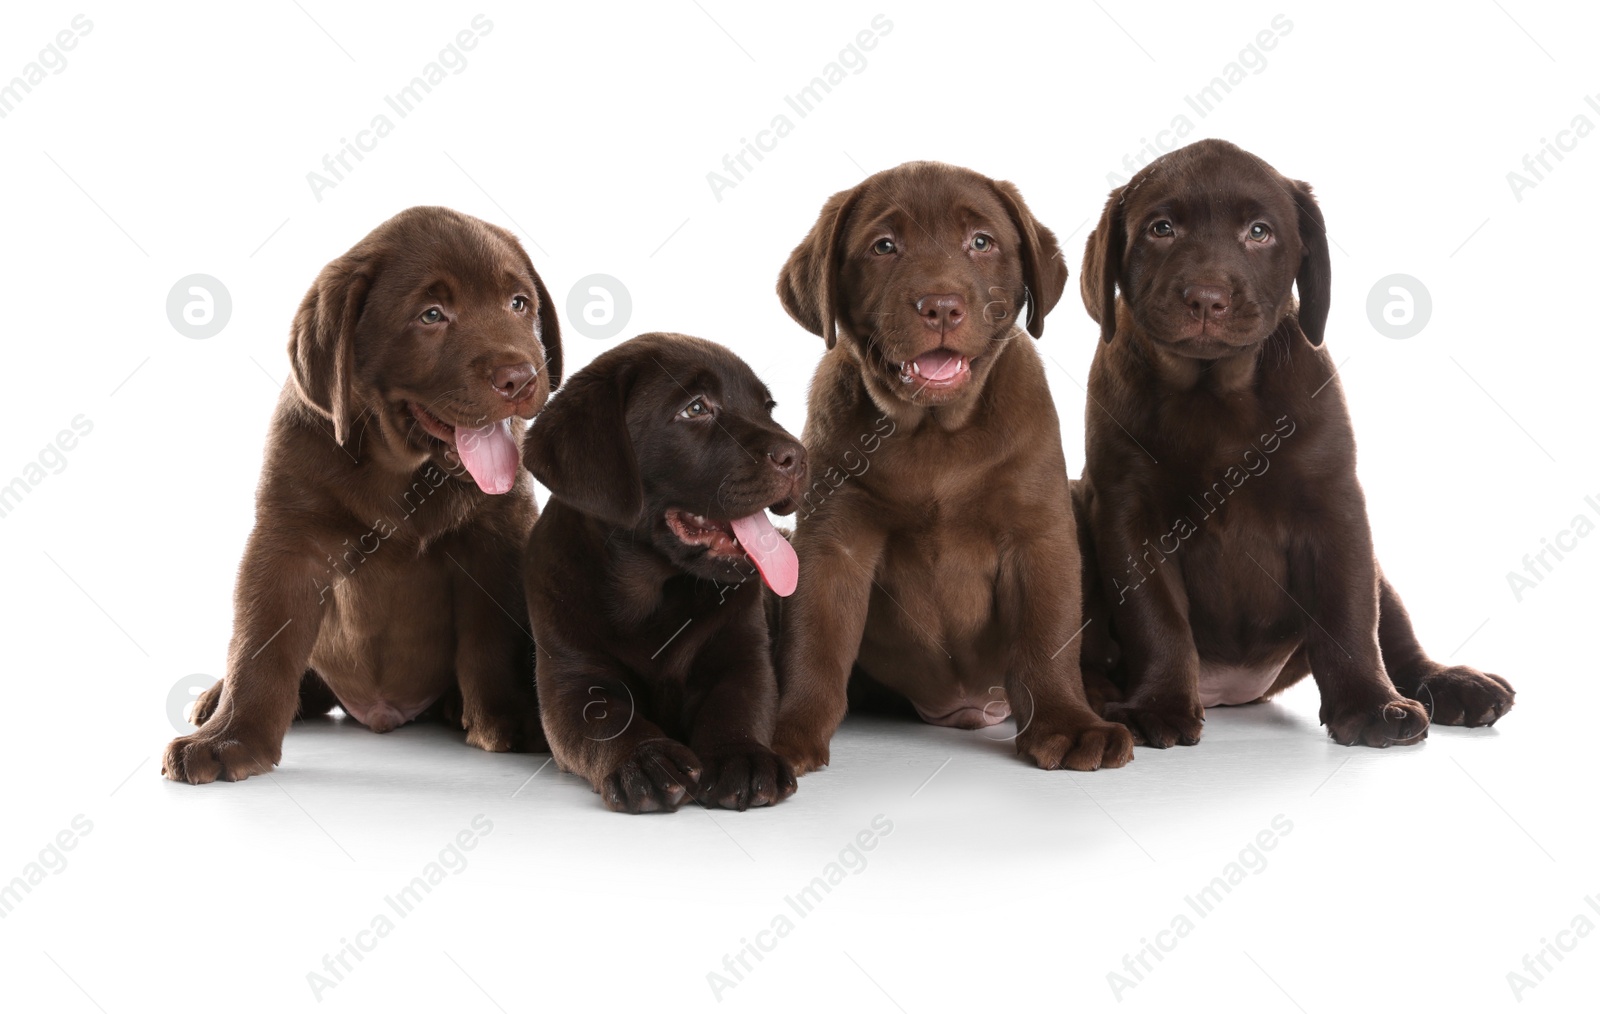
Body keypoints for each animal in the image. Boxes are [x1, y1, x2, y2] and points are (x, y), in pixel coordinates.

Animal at [164, 201, 563, 777]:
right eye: (431, 315)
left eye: (518, 303)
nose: (521, 377)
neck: (399, 467)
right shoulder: (287, 539)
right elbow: (260, 641)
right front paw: (228, 738)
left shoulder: (497, 534)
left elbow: (495, 637)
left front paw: (512, 720)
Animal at [521, 335, 806, 809]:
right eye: (696, 408)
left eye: (767, 407)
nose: (799, 456)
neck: (652, 592)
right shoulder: (573, 681)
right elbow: (608, 719)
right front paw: (645, 758)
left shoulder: (743, 658)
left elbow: (736, 706)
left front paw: (742, 756)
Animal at [768, 161, 1132, 770]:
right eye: (884, 246)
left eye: (981, 242)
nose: (940, 306)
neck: (932, 431)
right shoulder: (831, 543)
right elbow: (813, 644)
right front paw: (785, 734)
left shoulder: (1039, 534)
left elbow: (1046, 637)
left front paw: (1068, 724)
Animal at [1075, 138, 1510, 745]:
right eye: (1161, 228)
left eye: (1259, 232)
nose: (1206, 298)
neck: (1214, 389)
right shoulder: (1125, 511)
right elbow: (1153, 615)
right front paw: (1159, 703)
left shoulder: (1335, 506)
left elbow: (1348, 614)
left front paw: (1369, 705)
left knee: (1397, 635)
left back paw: (1453, 685)